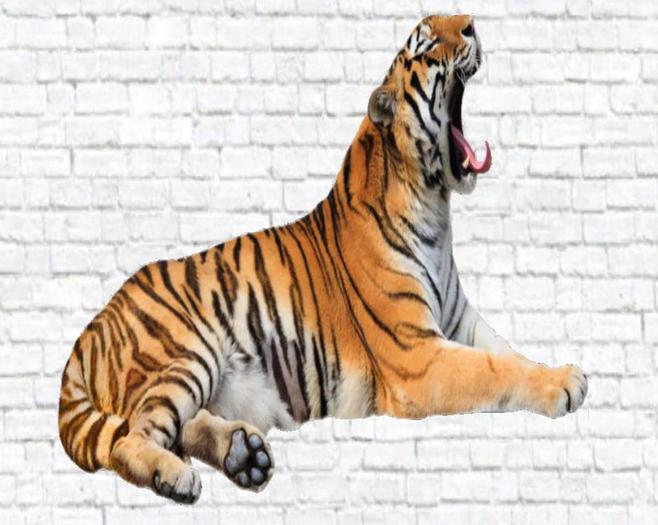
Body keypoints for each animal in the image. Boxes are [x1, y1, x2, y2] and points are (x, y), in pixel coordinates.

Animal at [58, 14, 588, 504]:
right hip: (187, 349)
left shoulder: (460, 323)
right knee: (129, 439)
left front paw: (556, 371)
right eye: (426, 42)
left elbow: (508, 354)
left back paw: (243, 454)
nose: (473, 25)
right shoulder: (417, 355)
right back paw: (177, 477)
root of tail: (91, 328)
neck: (434, 204)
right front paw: (567, 383)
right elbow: (493, 370)